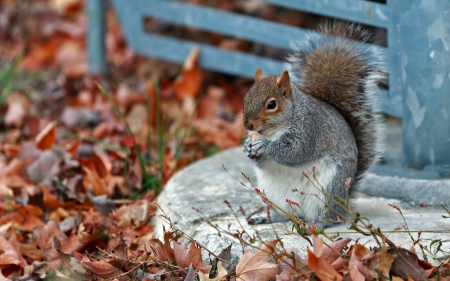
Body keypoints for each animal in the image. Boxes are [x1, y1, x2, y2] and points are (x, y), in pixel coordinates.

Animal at [243, 24, 386, 228]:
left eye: (271, 104)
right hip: (272, 194)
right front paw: (247, 148)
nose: (248, 124)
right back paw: (265, 217)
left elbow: (294, 152)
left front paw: (264, 146)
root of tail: (345, 203)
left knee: (328, 216)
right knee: (285, 214)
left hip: (328, 190)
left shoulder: (310, 129)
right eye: (246, 97)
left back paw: (316, 224)